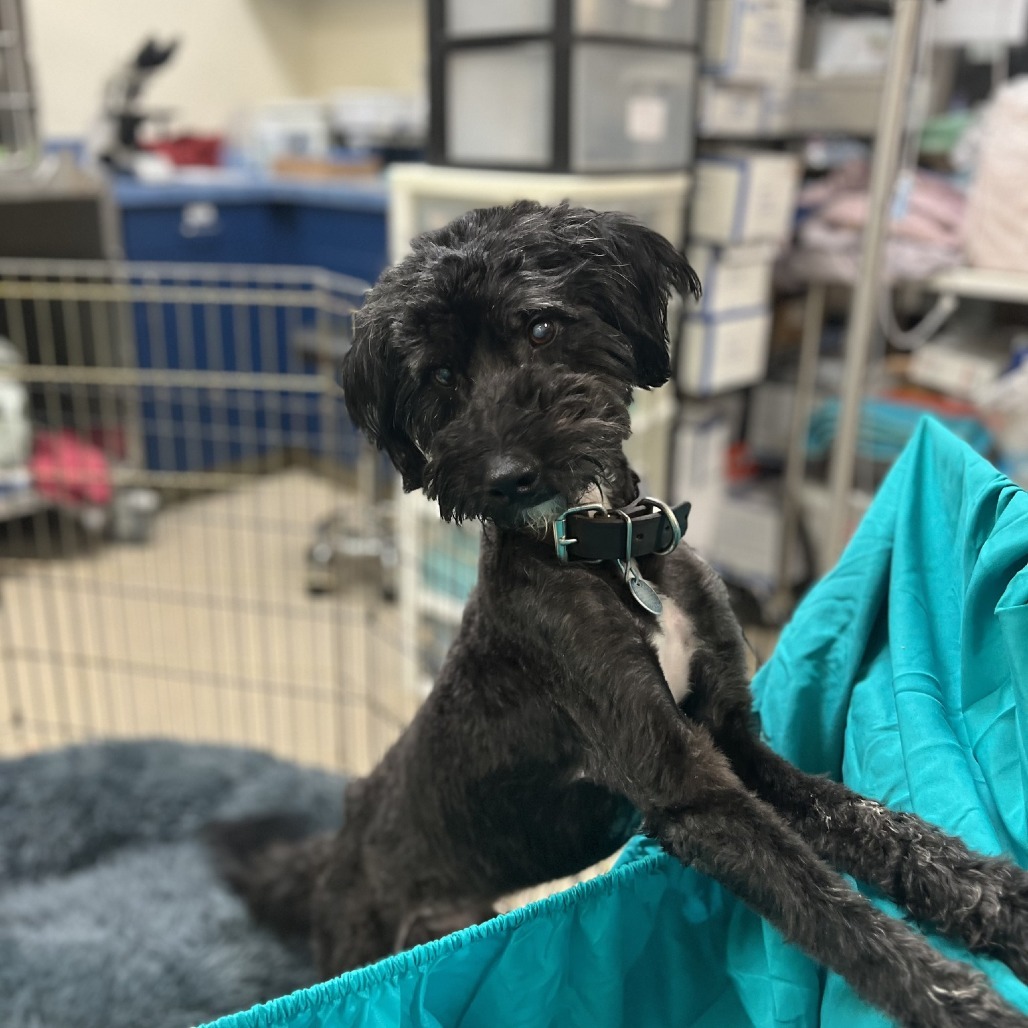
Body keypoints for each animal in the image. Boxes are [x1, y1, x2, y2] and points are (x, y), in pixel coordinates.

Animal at [221, 202, 1028, 1028]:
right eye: (439, 375)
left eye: (542, 327)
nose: (505, 477)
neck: (608, 555)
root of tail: (336, 847)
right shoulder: (687, 786)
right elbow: (827, 907)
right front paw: (960, 1000)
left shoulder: (736, 738)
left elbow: (871, 818)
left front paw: (998, 899)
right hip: (387, 936)